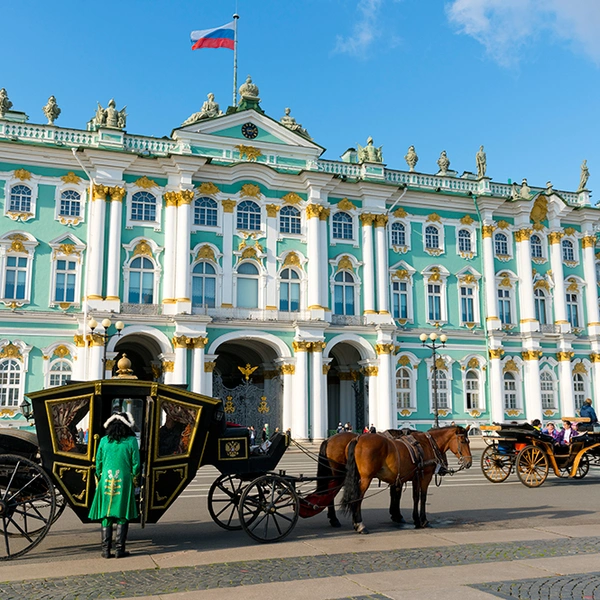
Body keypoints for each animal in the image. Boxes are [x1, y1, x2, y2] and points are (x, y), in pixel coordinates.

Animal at [340, 424, 472, 532]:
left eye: (469, 441)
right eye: (463, 441)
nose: (469, 463)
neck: (427, 444)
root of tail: (358, 438)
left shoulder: (414, 477)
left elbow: (414, 497)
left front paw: (415, 519)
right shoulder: (425, 477)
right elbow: (422, 498)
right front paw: (423, 520)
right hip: (366, 478)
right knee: (358, 497)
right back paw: (360, 525)